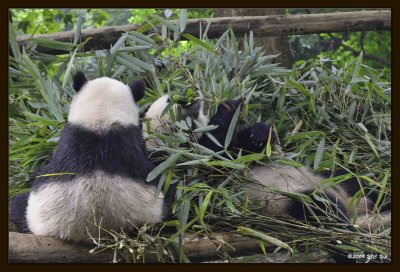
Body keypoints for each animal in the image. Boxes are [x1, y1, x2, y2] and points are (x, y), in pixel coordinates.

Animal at [141, 91, 390, 230]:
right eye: (167, 101)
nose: (185, 95)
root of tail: (356, 205)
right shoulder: (172, 165)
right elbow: (216, 159)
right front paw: (228, 109)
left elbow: (242, 148)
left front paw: (260, 132)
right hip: (284, 202)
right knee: (319, 206)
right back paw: (345, 226)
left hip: (331, 178)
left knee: (360, 183)